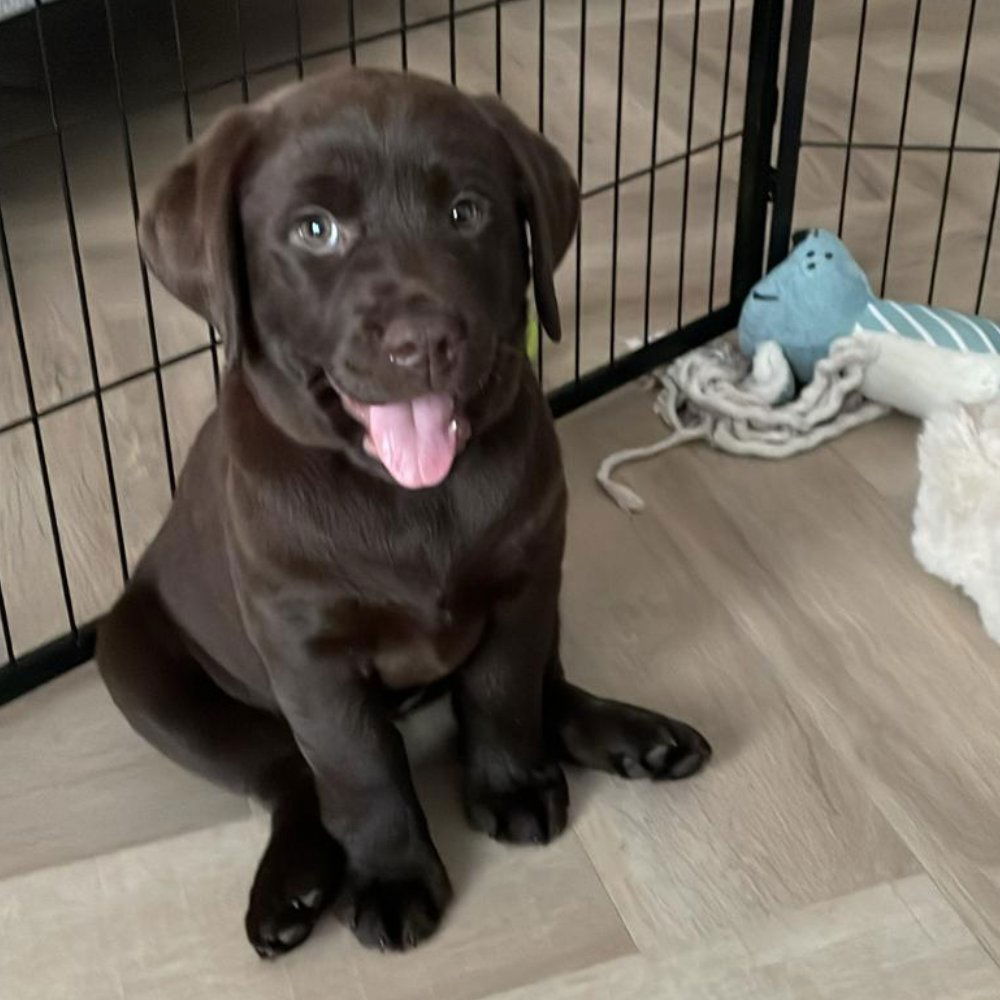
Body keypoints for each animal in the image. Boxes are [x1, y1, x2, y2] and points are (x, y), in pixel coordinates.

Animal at [97, 68, 711, 957]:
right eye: (315, 230)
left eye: (467, 212)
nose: (422, 342)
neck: (409, 496)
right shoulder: (307, 654)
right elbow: (356, 767)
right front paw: (391, 876)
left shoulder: (523, 584)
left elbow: (502, 692)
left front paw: (509, 784)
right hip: (139, 670)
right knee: (285, 771)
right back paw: (294, 884)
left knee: (547, 684)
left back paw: (635, 737)